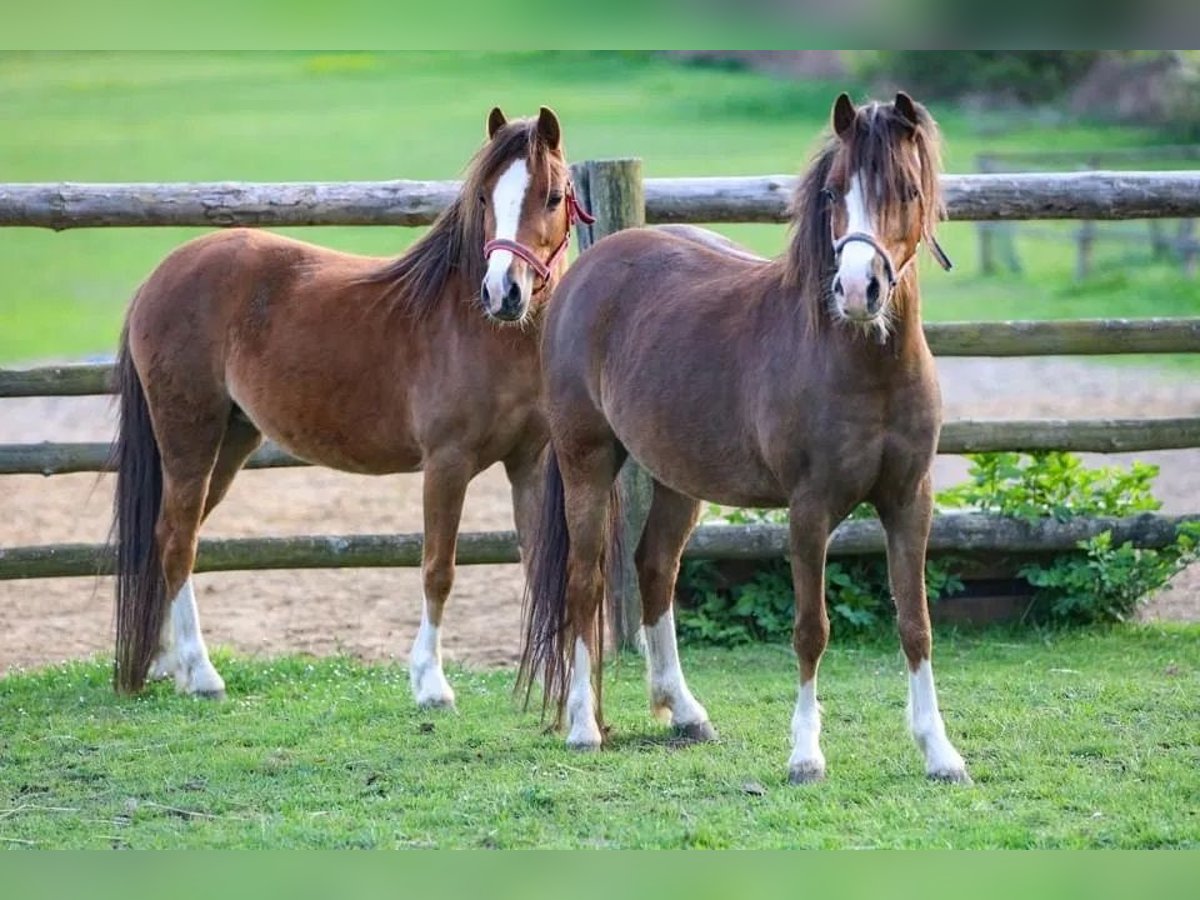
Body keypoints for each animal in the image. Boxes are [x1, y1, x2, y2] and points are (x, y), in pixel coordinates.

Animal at [111, 105, 591, 708]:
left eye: (551, 196)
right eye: (484, 197)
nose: (503, 293)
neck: (479, 330)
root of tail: (158, 278)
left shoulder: (527, 463)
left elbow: (538, 566)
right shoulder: (447, 463)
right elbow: (438, 569)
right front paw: (430, 683)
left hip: (229, 441)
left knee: (169, 535)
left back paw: (162, 663)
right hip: (188, 438)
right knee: (177, 541)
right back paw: (200, 673)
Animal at [518, 92, 969, 784]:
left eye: (908, 189)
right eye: (834, 192)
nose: (857, 290)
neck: (862, 363)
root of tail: (584, 271)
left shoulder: (909, 501)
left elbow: (915, 624)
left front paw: (940, 752)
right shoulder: (809, 509)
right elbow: (811, 628)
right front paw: (806, 755)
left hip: (679, 478)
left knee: (655, 568)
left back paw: (684, 712)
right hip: (585, 460)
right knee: (585, 579)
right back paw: (582, 728)